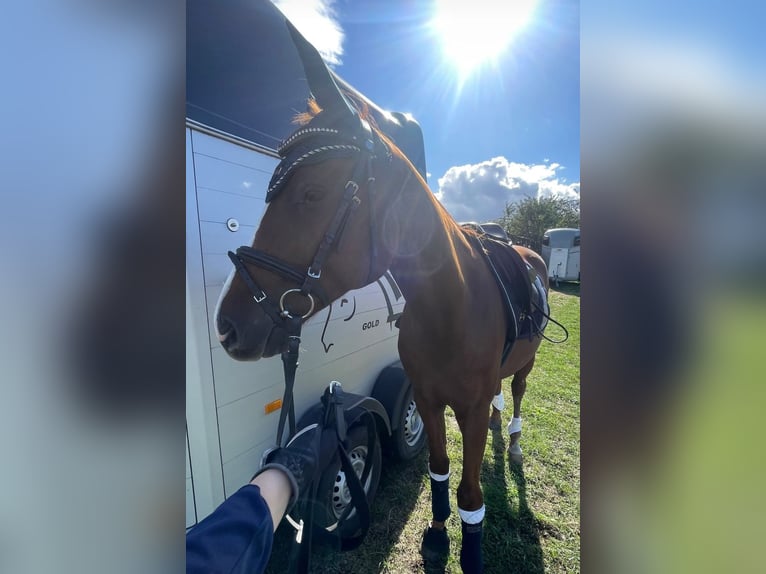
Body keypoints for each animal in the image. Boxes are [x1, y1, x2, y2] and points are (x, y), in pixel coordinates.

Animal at [218, 20, 544, 572]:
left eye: (311, 194)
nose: (228, 324)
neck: (450, 308)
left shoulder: (470, 409)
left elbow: (470, 496)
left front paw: (469, 551)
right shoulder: (430, 401)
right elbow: (438, 468)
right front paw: (436, 536)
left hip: (529, 361)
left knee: (517, 390)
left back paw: (515, 440)